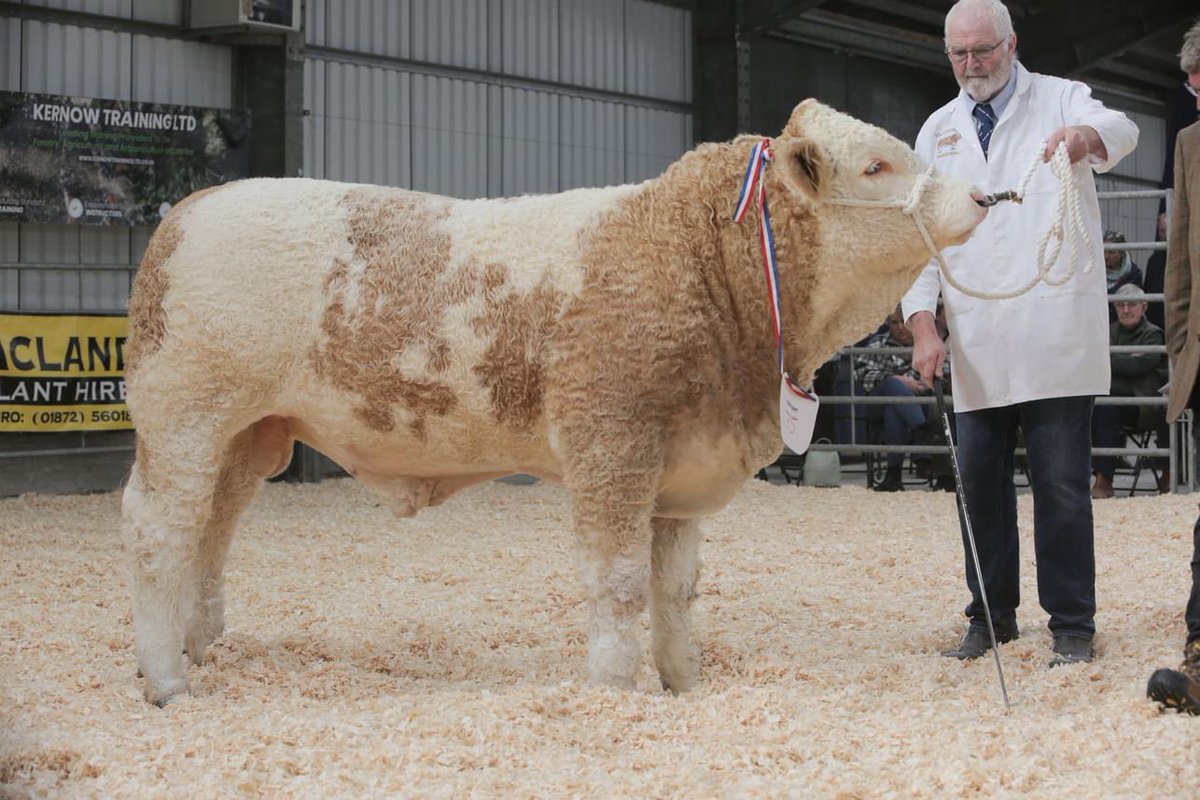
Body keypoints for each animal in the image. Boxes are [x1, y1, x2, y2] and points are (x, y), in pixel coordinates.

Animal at [122, 99, 987, 705]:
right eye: (876, 166)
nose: (982, 195)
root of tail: (191, 209)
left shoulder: (681, 473)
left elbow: (676, 588)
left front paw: (685, 683)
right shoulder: (613, 442)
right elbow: (620, 581)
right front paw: (611, 688)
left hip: (252, 435)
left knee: (211, 531)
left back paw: (202, 647)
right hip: (186, 416)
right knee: (160, 532)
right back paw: (166, 681)